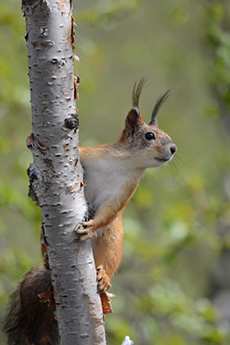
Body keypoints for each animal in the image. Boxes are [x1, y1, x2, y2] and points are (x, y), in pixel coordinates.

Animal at [3, 78, 176, 344]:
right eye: (150, 135)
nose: (174, 149)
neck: (125, 163)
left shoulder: (126, 190)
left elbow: (111, 211)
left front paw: (92, 226)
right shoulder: (89, 153)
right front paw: (30, 149)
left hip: (113, 238)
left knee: (108, 256)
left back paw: (103, 277)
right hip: (44, 233)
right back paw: (47, 259)